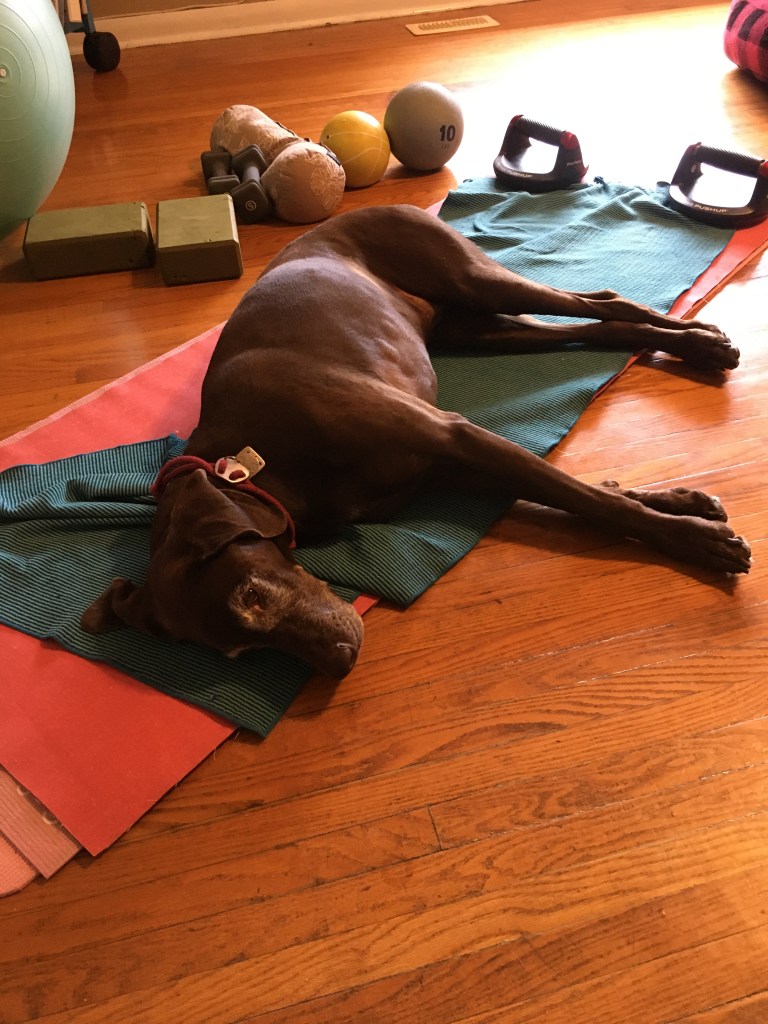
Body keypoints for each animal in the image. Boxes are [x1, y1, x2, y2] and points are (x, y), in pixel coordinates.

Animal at [81, 204, 752, 678]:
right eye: (237, 651)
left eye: (252, 594)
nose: (341, 662)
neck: (261, 464)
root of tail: (368, 208)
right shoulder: (449, 463)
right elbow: (587, 493)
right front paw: (688, 506)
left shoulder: (454, 436)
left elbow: (587, 498)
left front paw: (699, 542)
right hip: (476, 327)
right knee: (599, 320)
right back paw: (690, 344)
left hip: (476, 280)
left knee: (601, 301)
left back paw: (702, 341)